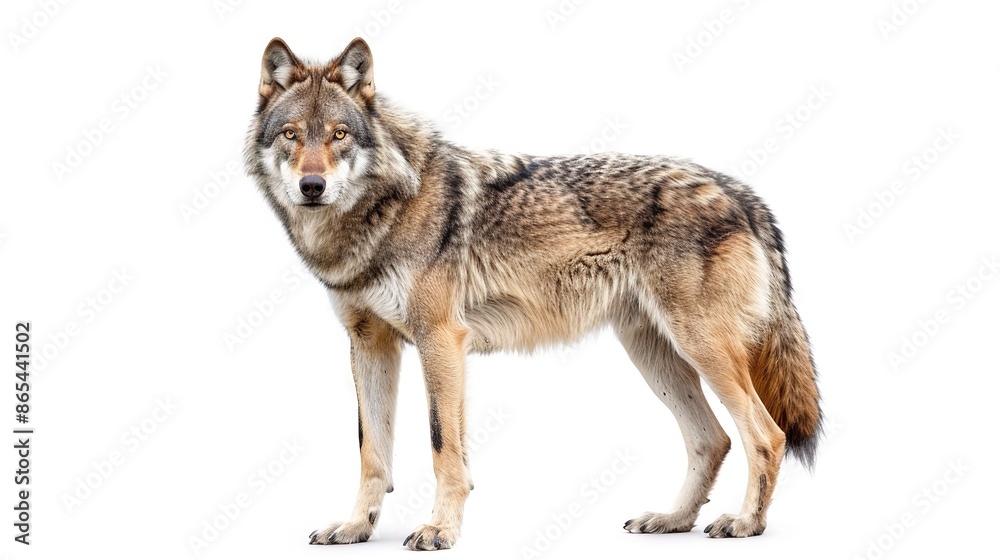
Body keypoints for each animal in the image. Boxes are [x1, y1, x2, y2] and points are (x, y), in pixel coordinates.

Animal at [244, 37, 822, 550]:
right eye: (292, 135)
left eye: (339, 134)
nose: (312, 187)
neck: (384, 210)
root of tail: (738, 190)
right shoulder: (370, 344)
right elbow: (372, 451)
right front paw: (355, 528)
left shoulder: (441, 340)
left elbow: (441, 446)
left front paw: (439, 531)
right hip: (653, 354)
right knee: (712, 439)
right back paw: (672, 519)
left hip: (700, 348)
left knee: (766, 436)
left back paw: (744, 523)